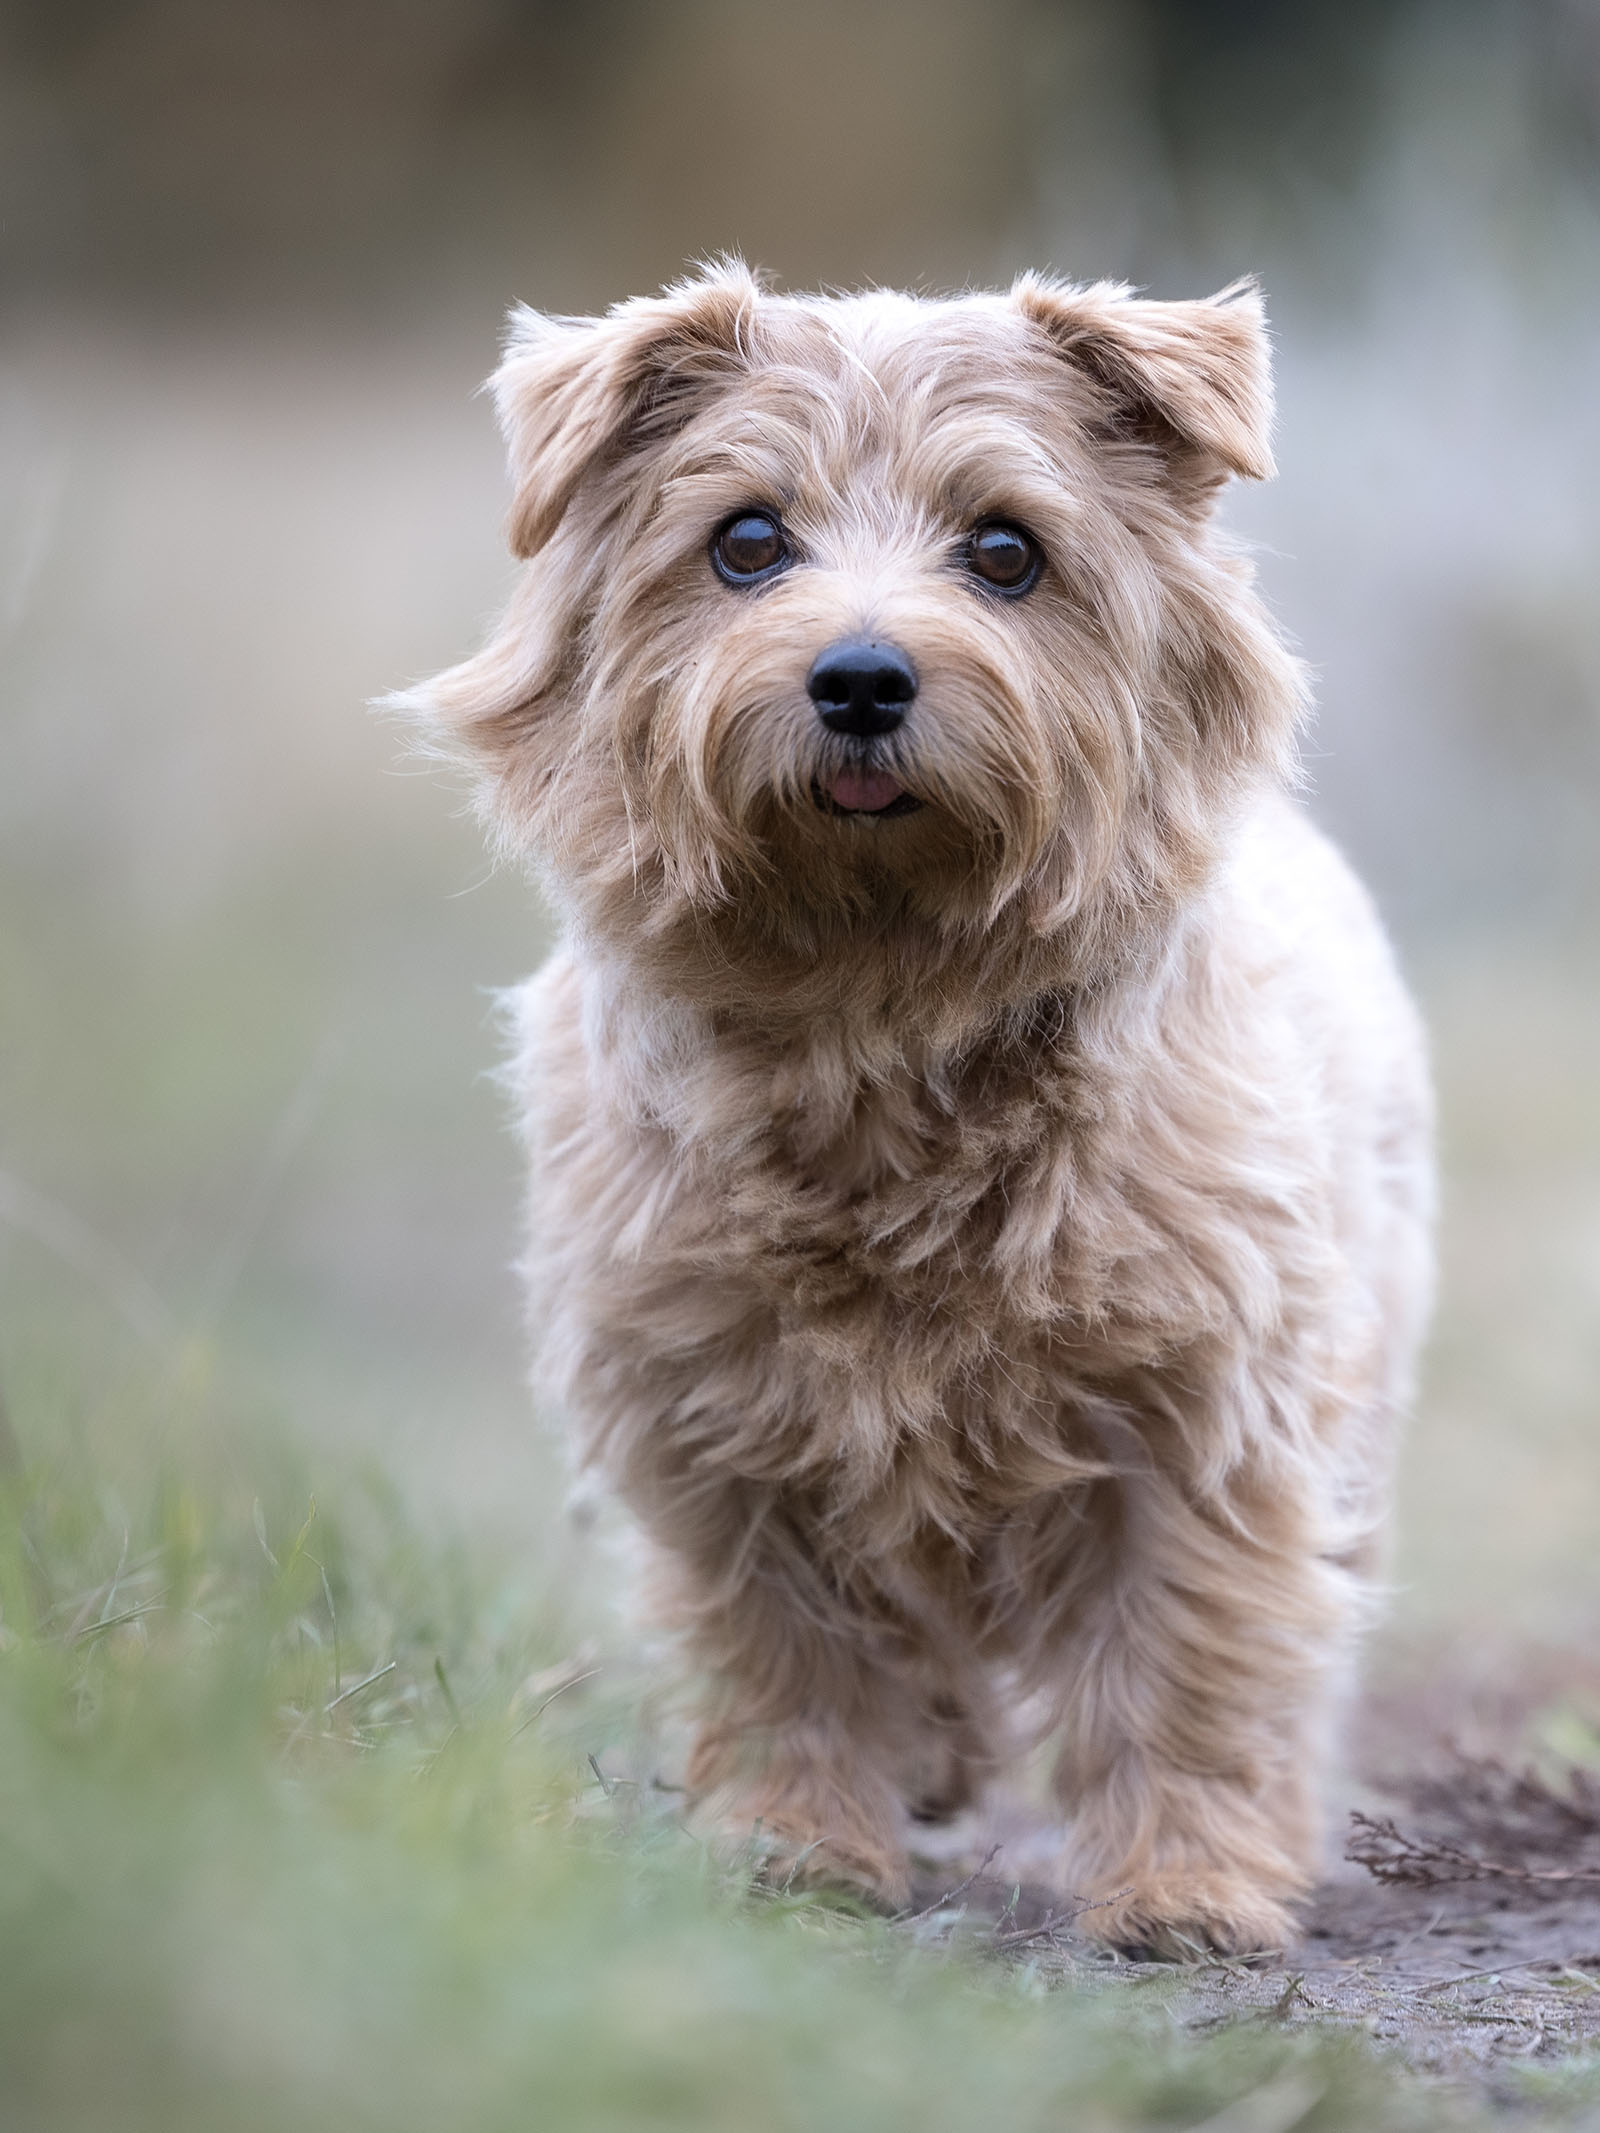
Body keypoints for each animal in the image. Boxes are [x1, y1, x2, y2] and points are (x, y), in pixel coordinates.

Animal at [407, 258, 1433, 1953]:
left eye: (1007, 550)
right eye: (746, 540)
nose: (862, 678)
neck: (880, 1000)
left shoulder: (1203, 1409)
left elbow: (1192, 1652)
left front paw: (1187, 1883)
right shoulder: (714, 1408)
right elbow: (790, 1644)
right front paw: (793, 1846)